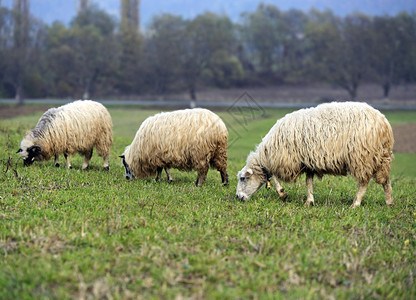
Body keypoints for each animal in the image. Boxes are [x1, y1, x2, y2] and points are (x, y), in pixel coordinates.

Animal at [236, 102, 394, 207]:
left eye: (243, 178)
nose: (238, 197)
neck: (267, 153)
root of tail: (384, 123)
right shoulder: (307, 161)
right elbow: (308, 182)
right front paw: (309, 201)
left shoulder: (286, 159)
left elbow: (274, 175)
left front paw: (282, 193)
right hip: (381, 157)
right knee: (386, 180)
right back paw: (389, 202)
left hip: (362, 157)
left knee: (363, 182)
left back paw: (355, 204)